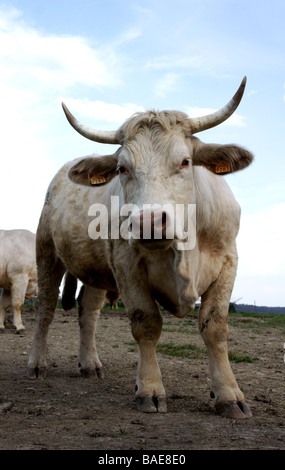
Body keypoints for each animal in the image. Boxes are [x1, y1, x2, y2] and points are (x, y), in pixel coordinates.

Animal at [26, 77, 253, 418]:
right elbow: (146, 323)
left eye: (185, 161)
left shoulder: (228, 262)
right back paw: (37, 363)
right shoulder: (127, 266)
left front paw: (228, 394)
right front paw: (149, 389)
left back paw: (90, 364)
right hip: (47, 253)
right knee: (46, 307)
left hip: (96, 270)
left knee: (88, 312)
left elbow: (215, 327)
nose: (148, 222)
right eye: (122, 168)